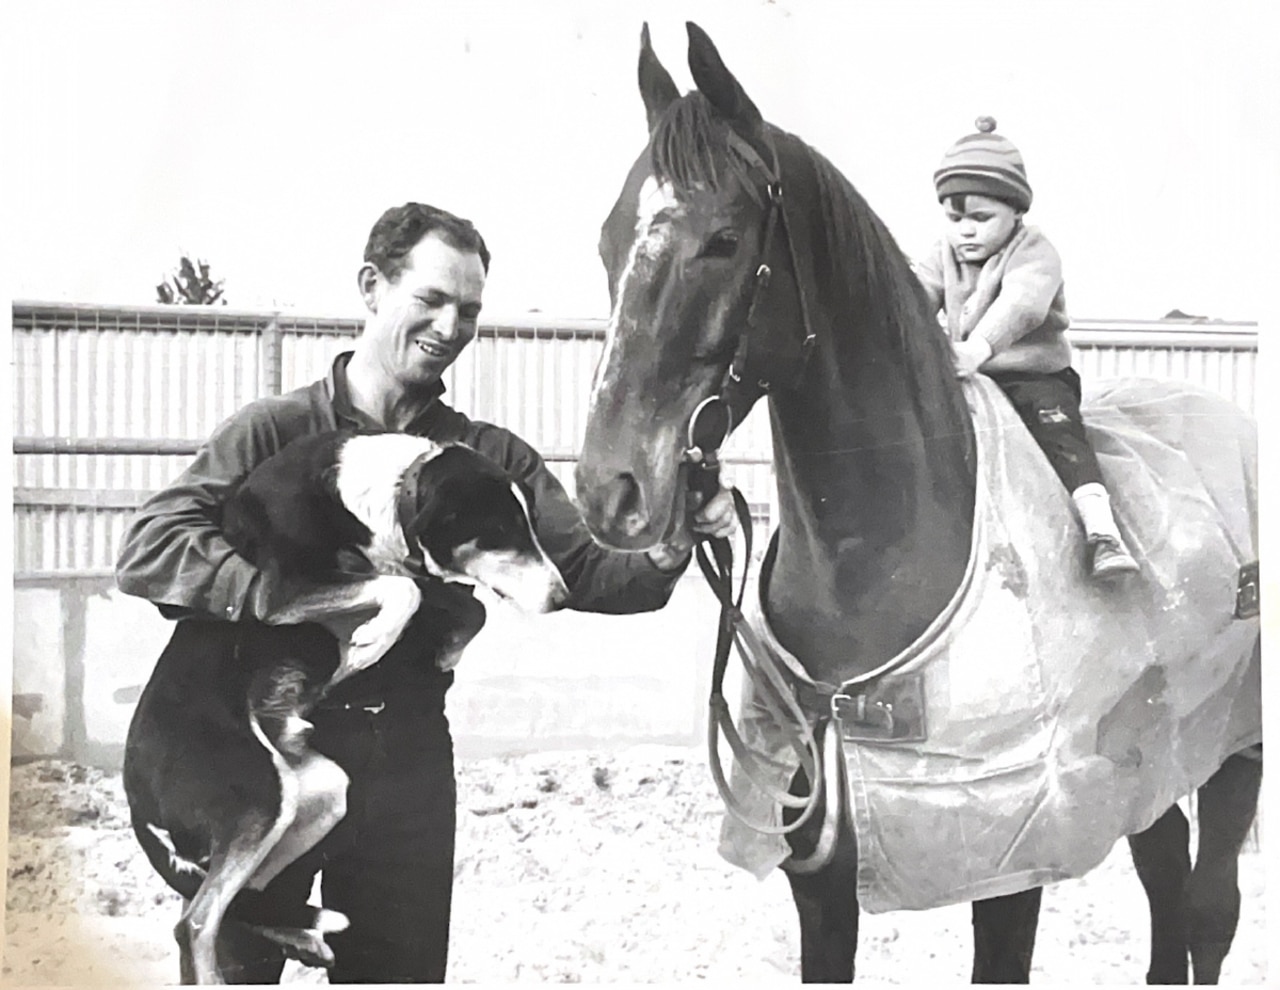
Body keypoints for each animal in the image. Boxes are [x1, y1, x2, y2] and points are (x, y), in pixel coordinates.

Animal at [576, 21, 1264, 978]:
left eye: (722, 240)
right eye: (609, 239)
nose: (610, 487)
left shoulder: (1013, 873)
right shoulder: (823, 887)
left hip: (1236, 752)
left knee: (1207, 911)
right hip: (1149, 765)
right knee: (1167, 886)